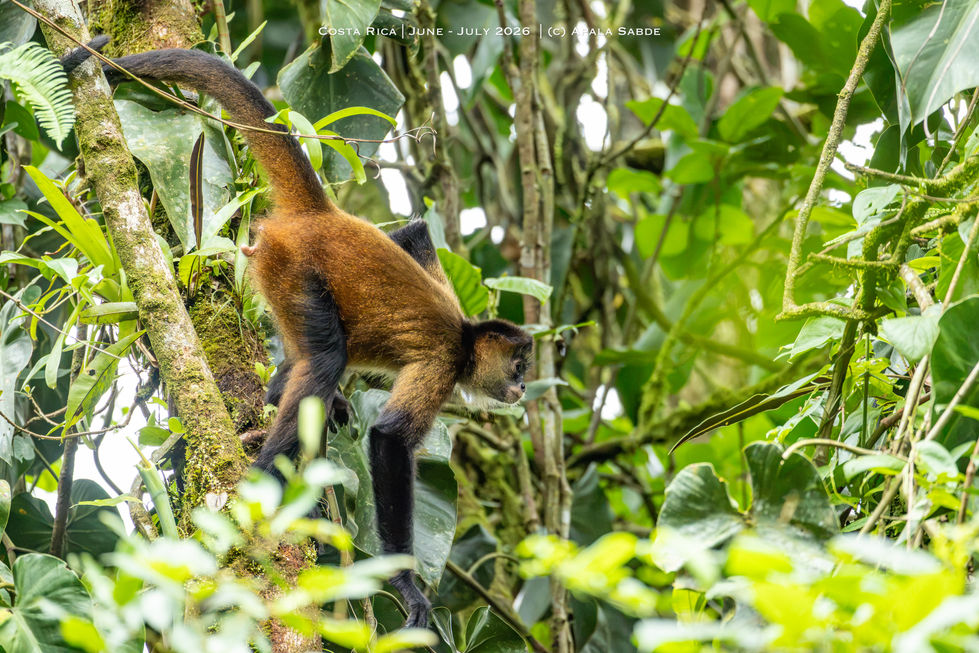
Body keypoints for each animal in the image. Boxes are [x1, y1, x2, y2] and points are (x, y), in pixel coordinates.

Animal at [64, 41, 534, 629]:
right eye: (519, 365)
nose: (524, 387)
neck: (469, 339)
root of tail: (321, 213)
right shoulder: (445, 361)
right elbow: (389, 438)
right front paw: (406, 586)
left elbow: (414, 230)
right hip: (292, 267)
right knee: (328, 357)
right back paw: (259, 479)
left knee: (312, 357)